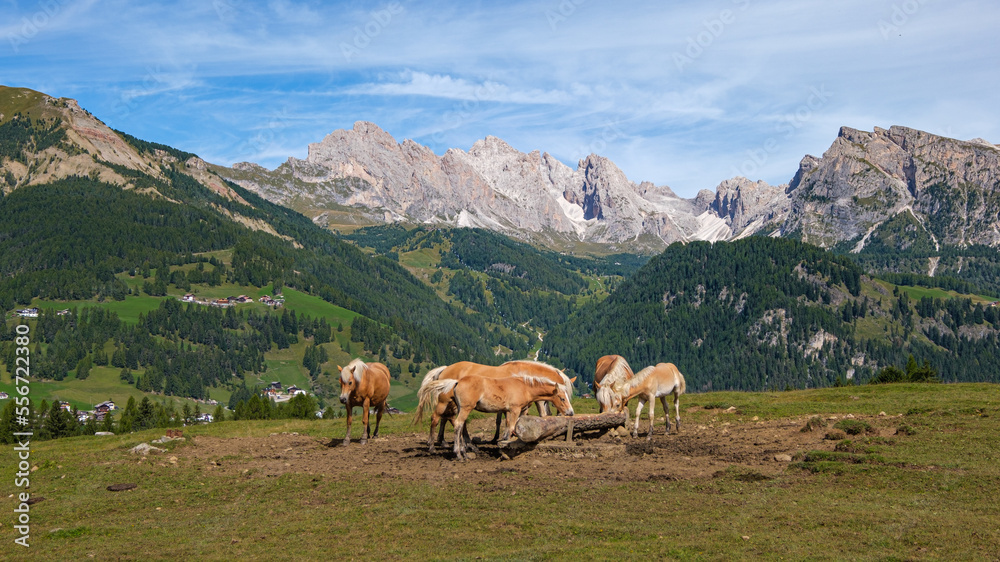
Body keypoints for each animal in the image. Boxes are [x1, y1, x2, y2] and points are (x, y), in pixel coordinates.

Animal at [413, 360, 575, 450]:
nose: (569, 413)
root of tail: (444, 369)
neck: (523, 375)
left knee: (448, 419)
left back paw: (446, 442)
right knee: (448, 419)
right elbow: (513, 421)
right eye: (562, 398)